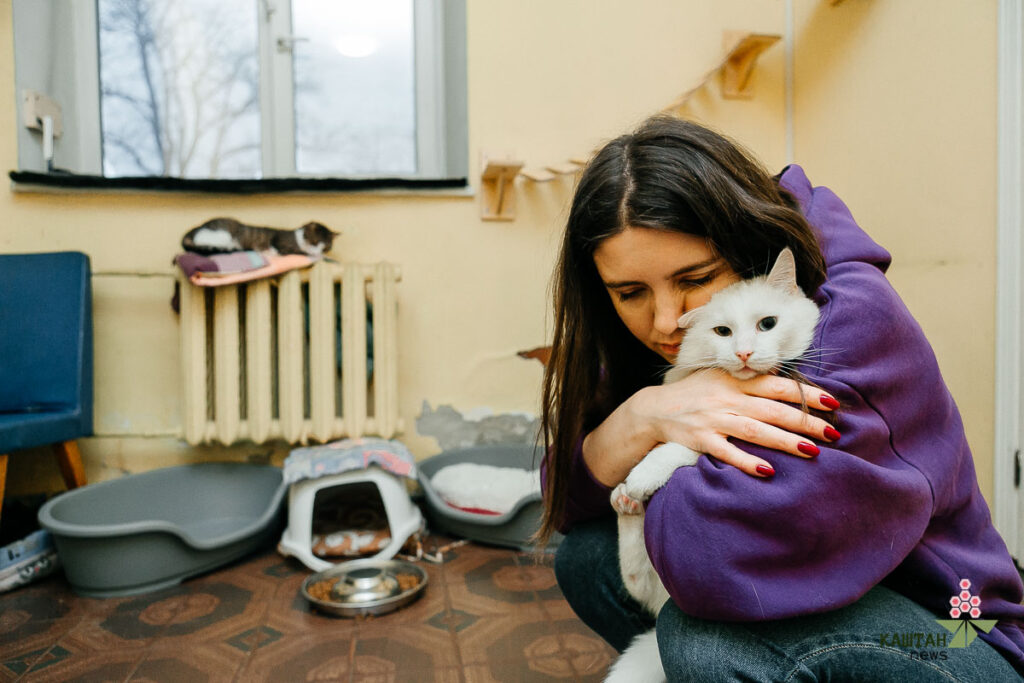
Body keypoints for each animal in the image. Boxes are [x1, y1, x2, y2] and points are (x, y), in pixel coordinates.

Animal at [602, 248, 819, 679]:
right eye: (723, 332)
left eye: (767, 324)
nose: (744, 353)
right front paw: (635, 483)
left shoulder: (718, 434)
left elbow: (676, 446)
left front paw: (645, 474)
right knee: (633, 571)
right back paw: (626, 501)